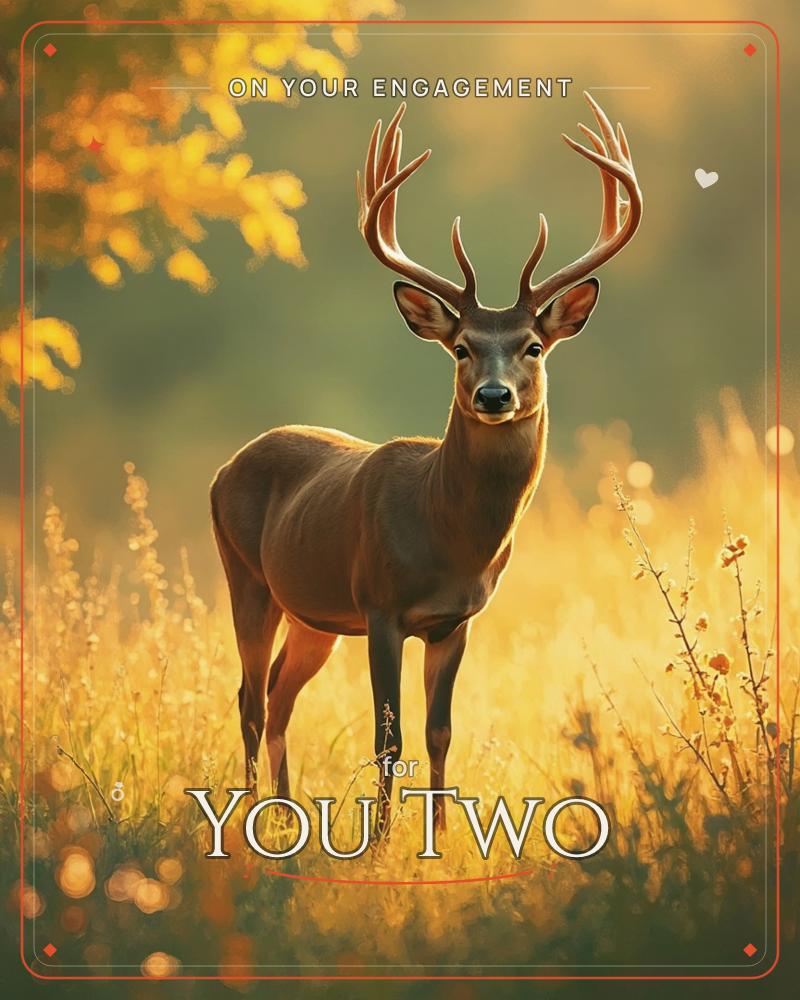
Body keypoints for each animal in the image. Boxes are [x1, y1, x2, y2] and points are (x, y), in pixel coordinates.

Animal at [210, 92, 642, 839]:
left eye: (532, 346)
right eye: (462, 346)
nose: (493, 396)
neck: (449, 535)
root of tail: (224, 467)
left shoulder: (455, 619)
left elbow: (440, 731)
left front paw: (439, 836)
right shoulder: (380, 603)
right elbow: (390, 736)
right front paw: (383, 842)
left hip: (311, 614)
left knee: (279, 696)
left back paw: (286, 819)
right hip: (247, 576)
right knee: (250, 697)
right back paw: (251, 822)